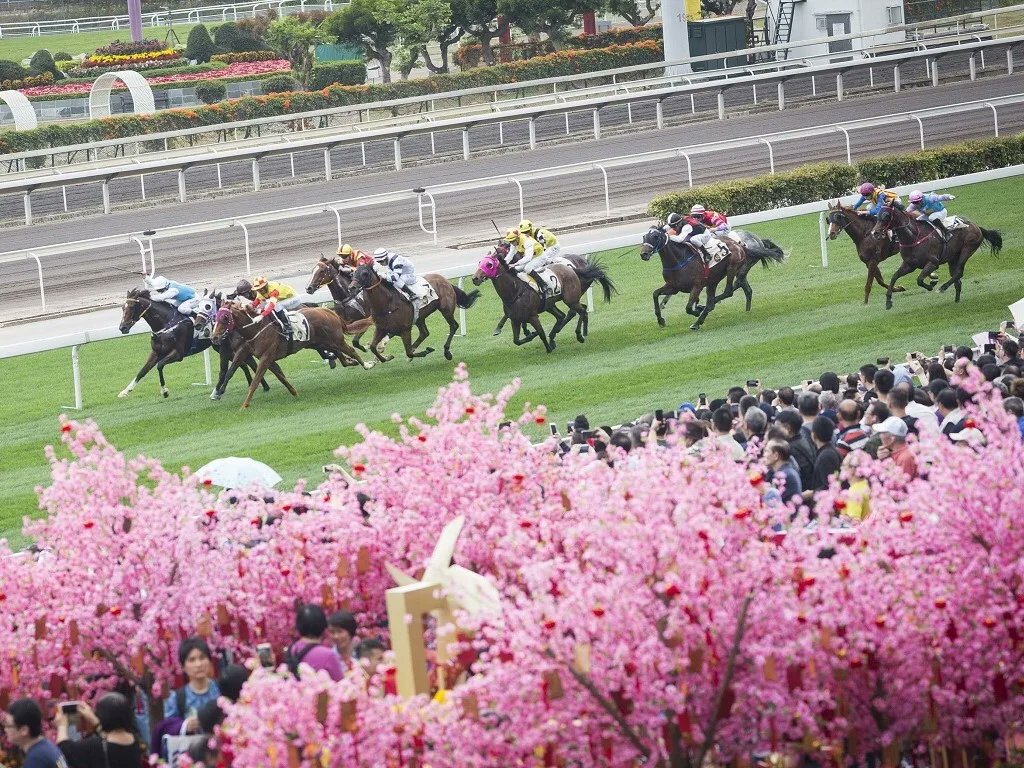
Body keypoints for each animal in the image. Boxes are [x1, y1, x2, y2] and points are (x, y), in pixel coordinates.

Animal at [117, 288, 260, 403]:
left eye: (131, 307)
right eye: (123, 308)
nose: (122, 328)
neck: (166, 323)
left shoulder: (178, 353)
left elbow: (159, 365)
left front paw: (165, 391)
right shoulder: (156, 352)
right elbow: (142, 371)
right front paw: (125, 392)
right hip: (219, 347)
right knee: (242, 363)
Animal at [210, 303, 372, 411]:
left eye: (225, 318)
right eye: (215, 318)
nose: (214, 337)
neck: (255, 329)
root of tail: (327, 311)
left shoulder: (266, 356)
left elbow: (255, 381)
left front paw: (244, 405)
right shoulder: (253, 353)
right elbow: (279, 375)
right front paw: (294, 392)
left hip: (335, 340)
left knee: (351, 350)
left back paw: (367, 364)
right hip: (320, 343)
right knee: (342, 357)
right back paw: (352, 362)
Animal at [473, 250, 614, 354]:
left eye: (489, 264)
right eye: (480, 262)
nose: (475, 278)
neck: (515, 291)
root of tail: (572, 269)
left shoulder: (533, 316)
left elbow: (541, 333)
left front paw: (548, 348)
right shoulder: (515, 319)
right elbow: (516, 340)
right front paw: (531, 334)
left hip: (570, 299)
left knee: (581, 311)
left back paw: (579, 335)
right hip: (550, 304)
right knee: (563, 315)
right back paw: (558, 335)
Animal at [638, 224, 782, 329]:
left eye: (655, 236)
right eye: (644, 236)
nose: (644, 254)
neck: (679, 260)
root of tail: (741, 245)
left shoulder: (697, 285)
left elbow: (688, 307)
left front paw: (697, 310)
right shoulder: (673, 287)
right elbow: (655, 294)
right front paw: (660, 320)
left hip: (734, 268)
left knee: (729, 290)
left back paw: (701, 316)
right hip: (714, 280)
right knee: (743, 289)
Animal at [868, 207, 1003, 313]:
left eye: (886, 216)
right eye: (877, 216)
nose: (875, 233)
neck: (914, 237)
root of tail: (976, 226)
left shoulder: (933, 263)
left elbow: (919, 279)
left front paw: (932, 284)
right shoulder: (909, 265)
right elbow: (894, 277)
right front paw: (888, 301)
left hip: (967, 250)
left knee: (959, 273)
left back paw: (943, 287)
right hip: (953, 258)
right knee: (957, 279)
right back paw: (956, 300)